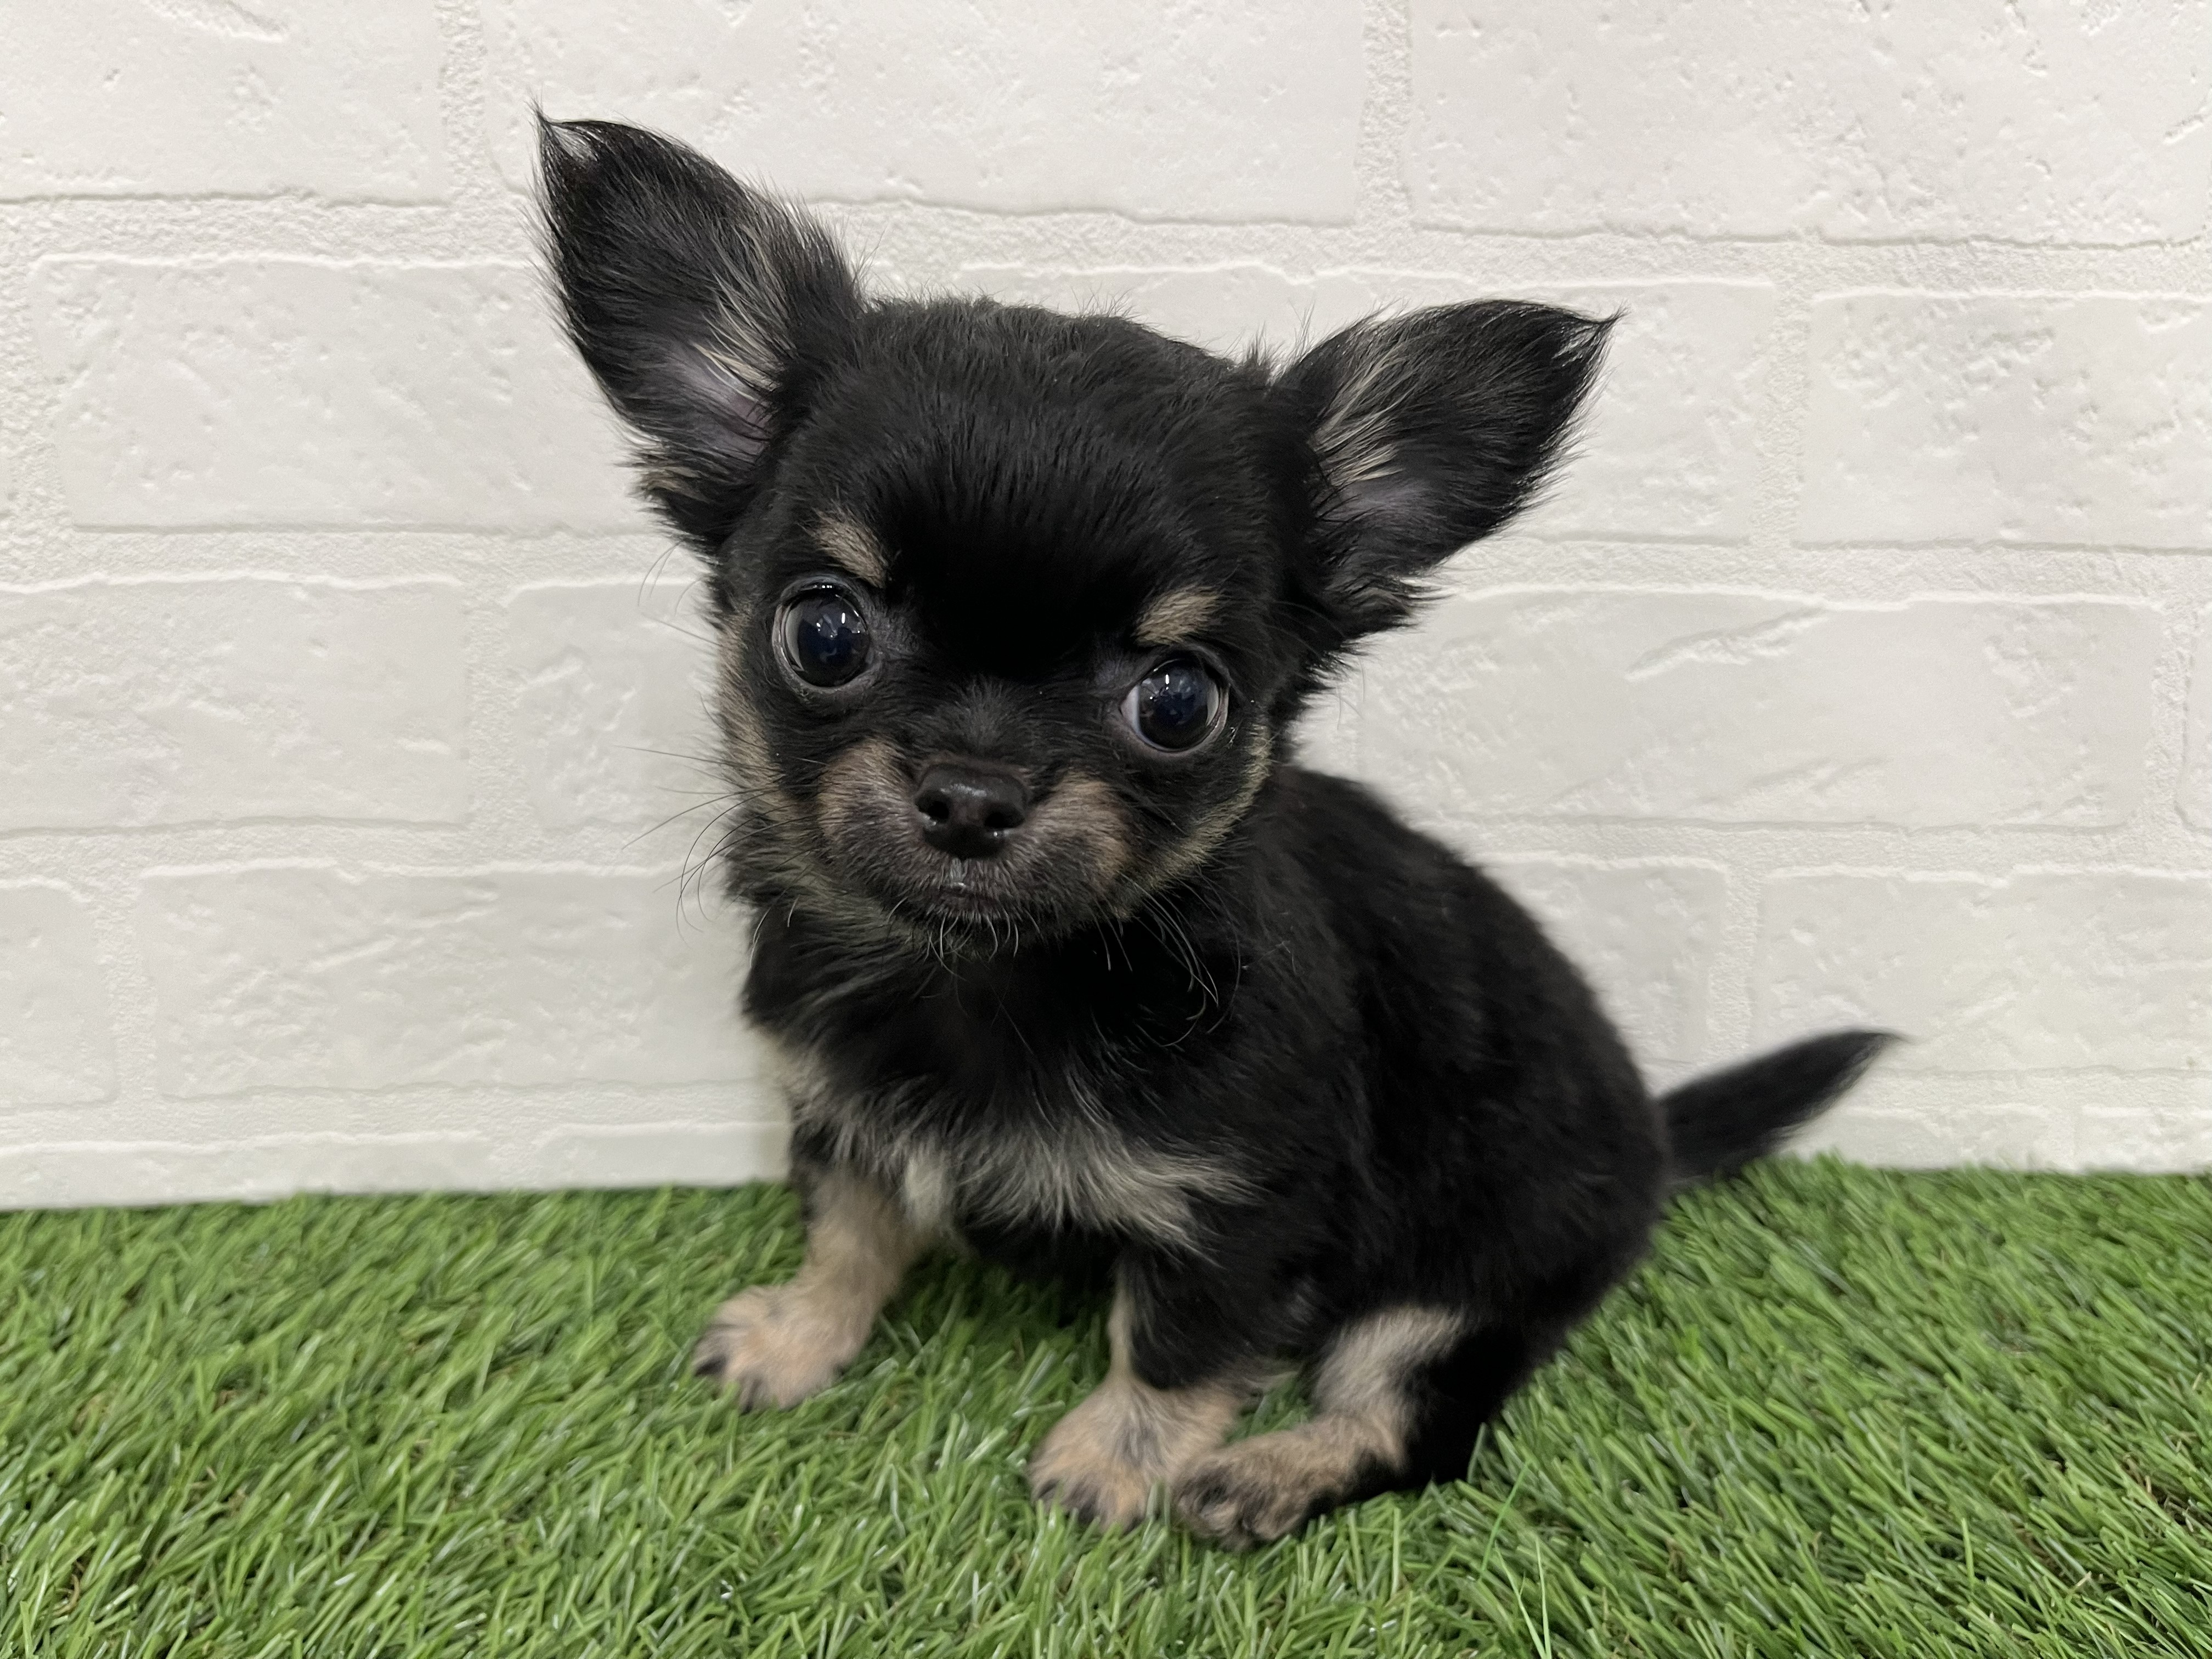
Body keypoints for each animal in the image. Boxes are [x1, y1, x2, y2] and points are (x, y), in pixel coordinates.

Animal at [537, 117, 1892, 1549]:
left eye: (1178, 704)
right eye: (826, 634)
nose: (972, 792)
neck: (998, 975)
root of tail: (1654, 1142)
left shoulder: (1246, 1206)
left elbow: (1176, 1339)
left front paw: (1115, 1461)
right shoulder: (842, 1115)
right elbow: (848, 1231)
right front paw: (799, 1338)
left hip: (1459, 1287)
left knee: (1416, 1424)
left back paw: (1261, 1476)